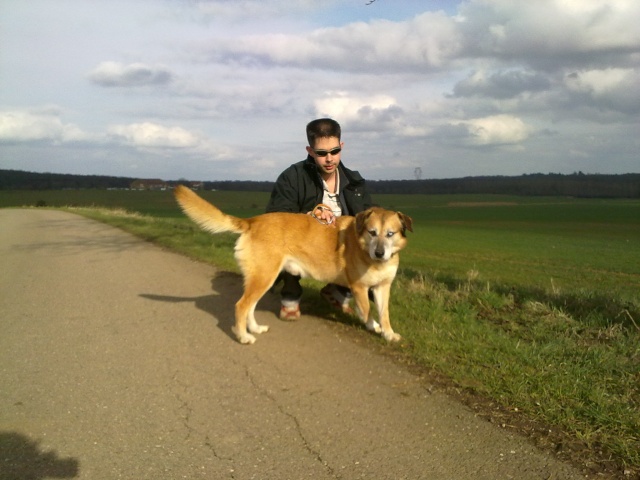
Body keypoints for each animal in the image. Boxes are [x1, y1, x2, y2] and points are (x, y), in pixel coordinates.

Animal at [174, 185, 416, 344]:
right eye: (372, 232)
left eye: (390, 234)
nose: (380, 253)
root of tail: (252, 221)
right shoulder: (359, 288)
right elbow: (367, 312)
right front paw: (374, 327)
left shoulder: (383, 288)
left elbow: (384, 314)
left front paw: (388, 333)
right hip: (264, 276)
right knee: (241, 306)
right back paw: (244, 337)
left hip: (262, 278)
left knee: (250, 306)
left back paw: (255, 329)